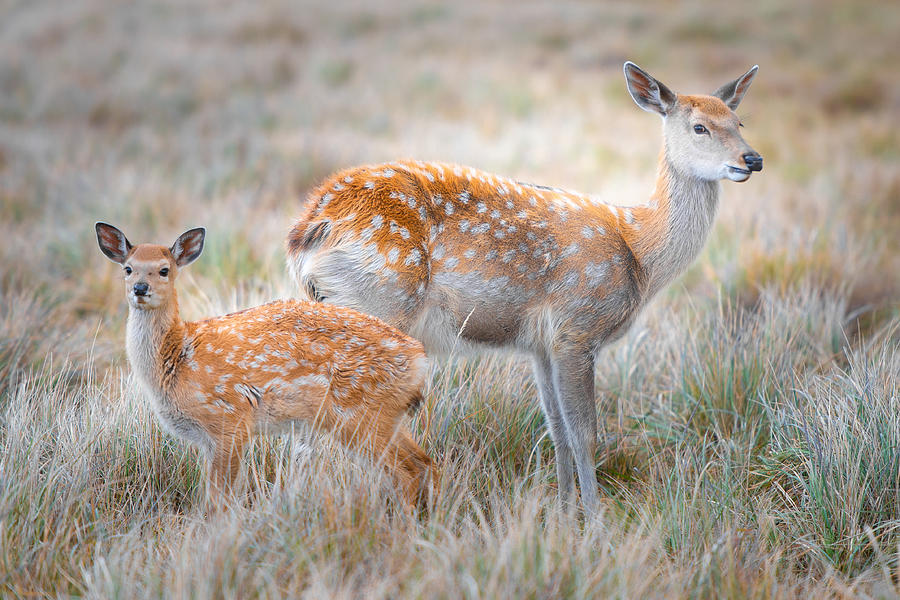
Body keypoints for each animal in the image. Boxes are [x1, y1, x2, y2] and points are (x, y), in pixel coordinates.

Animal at [94, 223, 436, 508]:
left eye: (164, 270)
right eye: (128, 269)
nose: (140, 288)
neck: (179, 356)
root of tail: (419, 360)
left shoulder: (230, 421)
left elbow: (218, 499)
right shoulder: (209, 440)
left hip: (361, 414)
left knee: (407, 470)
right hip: (383, 416)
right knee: (422, 461)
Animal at [284, 63, 764, 516]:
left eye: (738, 121)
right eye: (699, 126)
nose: (753, 159)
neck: (639, 251)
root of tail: (312, 227)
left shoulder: (540, 344)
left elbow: (558, 431)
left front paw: (565, 514)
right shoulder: (577, 327)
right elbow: (585, 433)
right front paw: (595, 522)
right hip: (380, 302)